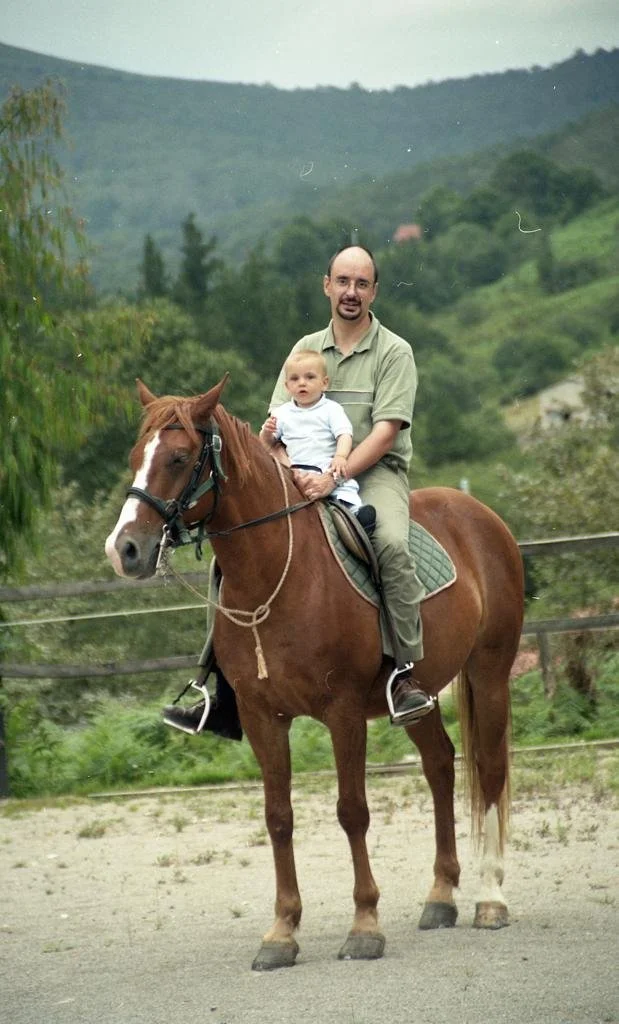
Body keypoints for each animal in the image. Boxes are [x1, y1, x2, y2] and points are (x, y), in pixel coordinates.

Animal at [105, 377, 524, 971]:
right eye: (135, 457)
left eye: (179, 458)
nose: (125, 550)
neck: (276, 574)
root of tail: (478, 513)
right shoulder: (262, 716)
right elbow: (278, 816)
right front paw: (282, 932)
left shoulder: (342, 712)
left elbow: (352, 811)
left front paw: (365, 926)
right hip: (417, 693)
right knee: (441, 765)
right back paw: (441, 896)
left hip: (489, 672)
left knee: (488, 772)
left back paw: (490, 898)